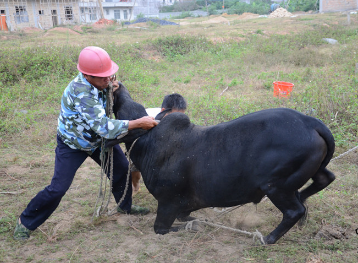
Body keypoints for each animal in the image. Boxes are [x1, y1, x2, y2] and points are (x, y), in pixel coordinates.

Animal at [108, 85, 336, 245]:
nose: (117, 87)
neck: (148, 142)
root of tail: (310, 122)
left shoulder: (167, 202)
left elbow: (162, 229)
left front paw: (193, 227)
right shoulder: (180, 204)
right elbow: (184, 216)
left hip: (276, 186)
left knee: (293, 211)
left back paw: (268, 238)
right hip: (303, 175)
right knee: (324, 179)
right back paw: (303, 204)